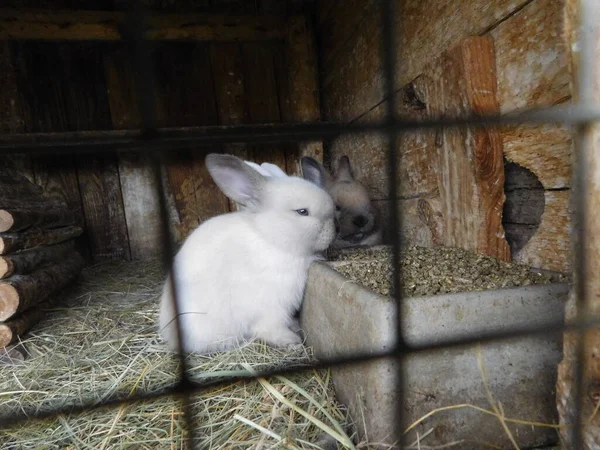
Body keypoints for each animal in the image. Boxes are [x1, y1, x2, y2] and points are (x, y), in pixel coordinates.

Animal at [158, 153, 338, 354]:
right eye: (302, 212)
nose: (336, 228)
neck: (271, 240)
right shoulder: (272, 307)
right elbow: (270, 329)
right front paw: (293, 342)